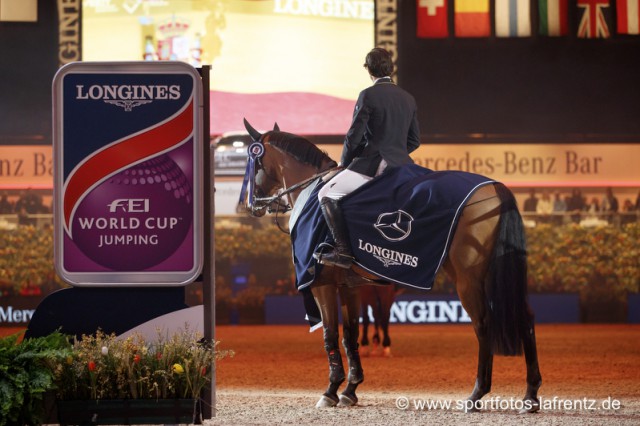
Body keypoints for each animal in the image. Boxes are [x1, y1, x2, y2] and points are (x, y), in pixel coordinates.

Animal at [239, 120, 540, 412]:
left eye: (254, 161)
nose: (251, 206)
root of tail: (495, 188)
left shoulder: (321, 283)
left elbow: (330, 334)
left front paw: (330, 391)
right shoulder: (348, 285)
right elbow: (350, 336)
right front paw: (350, 390)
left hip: (468, 278)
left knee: (483, 324)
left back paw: (476, 395)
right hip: (493, 275)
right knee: (525, 318)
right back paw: (530, 396)